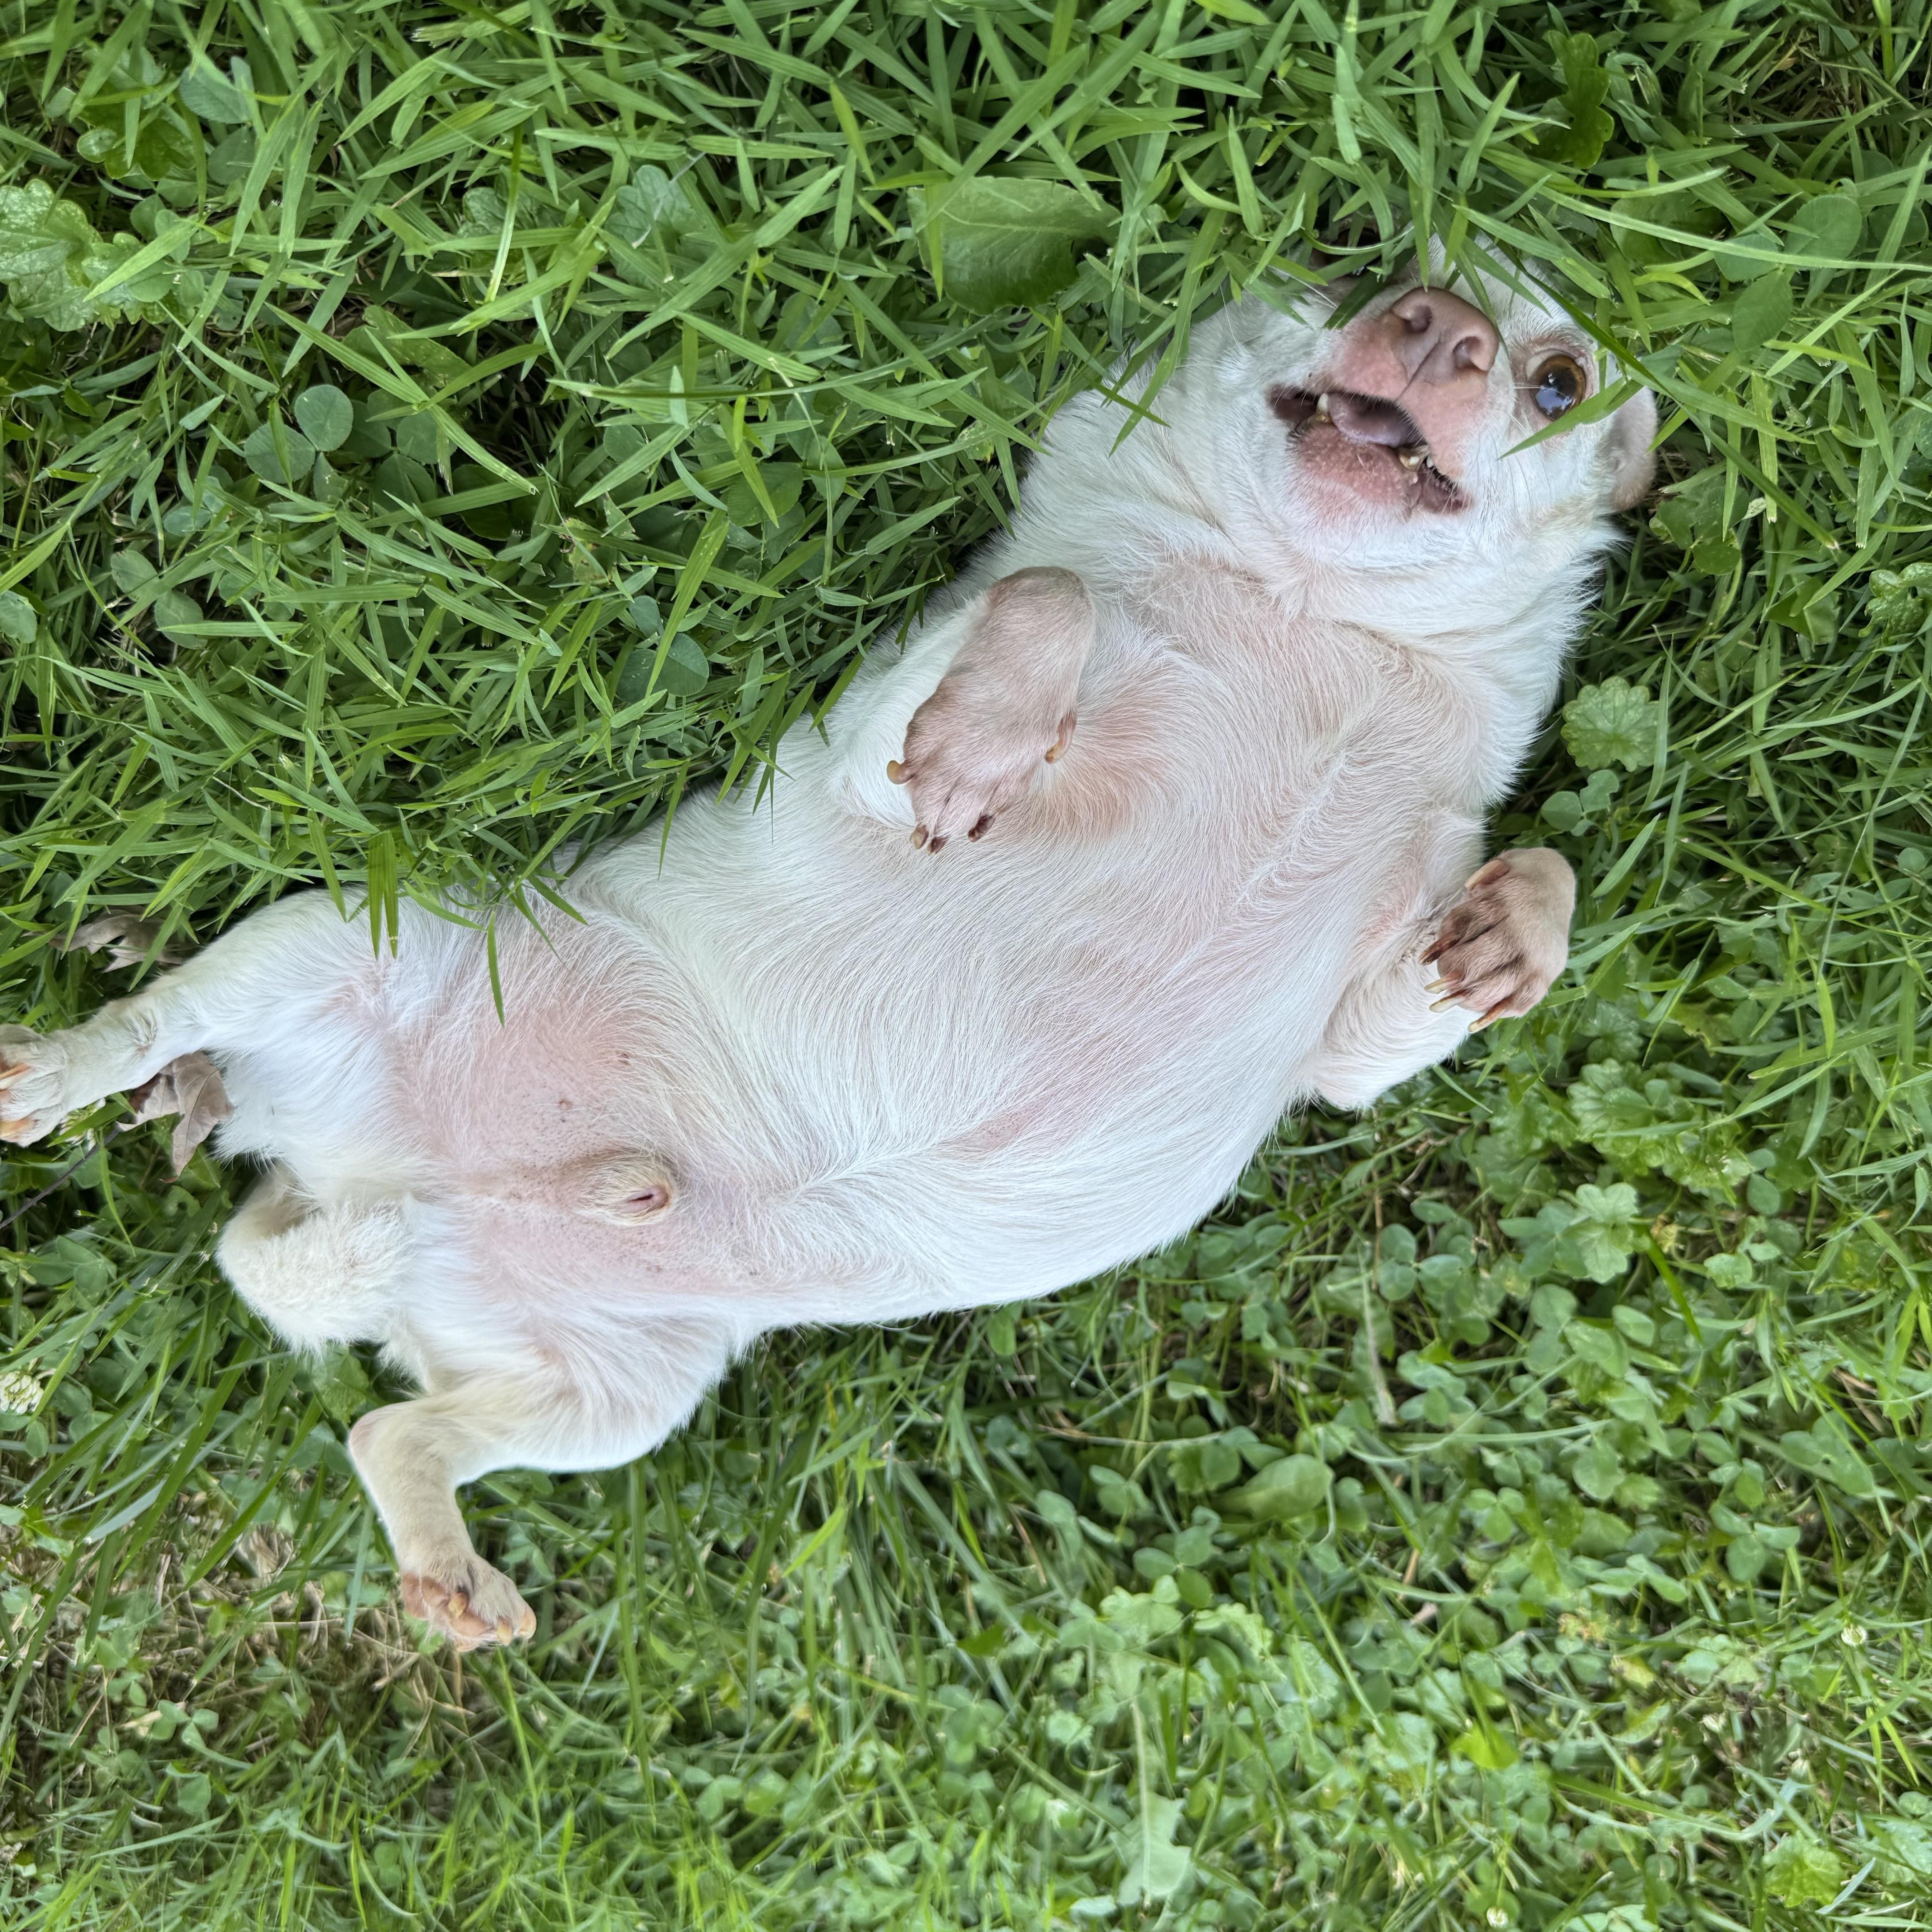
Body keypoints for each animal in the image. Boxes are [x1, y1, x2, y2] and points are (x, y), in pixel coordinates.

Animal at [0, 261, 1655, 1650]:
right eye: (1356, 261)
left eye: (1557, 378)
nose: (1433, 319)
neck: (1304, 604)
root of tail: (380, 1200)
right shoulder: (872, 742)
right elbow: (1047, 601)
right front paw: (983, 746)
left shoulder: (1345, 1037)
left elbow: (1505, 909)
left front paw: (1507, 933)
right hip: (339, 940)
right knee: (151, 1024)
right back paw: (49, 1073)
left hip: (613, 1394)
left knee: (388, 1430)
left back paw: (453, 1568)